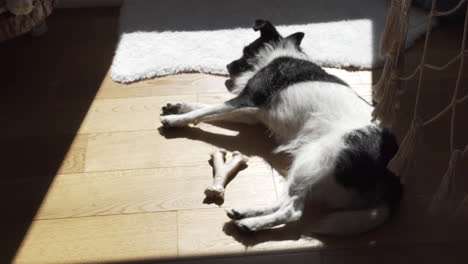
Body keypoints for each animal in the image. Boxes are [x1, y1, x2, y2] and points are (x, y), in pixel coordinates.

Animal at [161, 20, 402, 235]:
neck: (277, 54)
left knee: (293, 211)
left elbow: (206, 111)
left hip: (314, 159)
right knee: (286, 201)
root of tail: (388, 171)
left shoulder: (247, 100)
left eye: (246, 50)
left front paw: (175, 120)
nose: (228, 66)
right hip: (315, 171)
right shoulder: (252, 114)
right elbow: (206, 108)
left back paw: (251, 224)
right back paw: (246, 213)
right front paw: (178, 107)